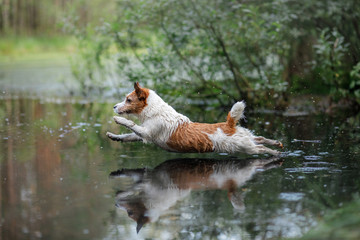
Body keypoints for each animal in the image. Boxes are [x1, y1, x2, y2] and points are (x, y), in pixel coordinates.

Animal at [105, 81, 282, 155]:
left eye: (128, 100)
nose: (113, 107)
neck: (155, 112)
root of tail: (229, 125)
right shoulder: (144, 134)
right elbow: (129, 135)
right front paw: (115, 136)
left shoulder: (147, 133)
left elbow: (131, 124)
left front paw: (119, 120)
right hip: (245, 139)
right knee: (259, 138)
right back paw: (275, 143)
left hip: (244, 147)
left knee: (260, 148)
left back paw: (274, 154)